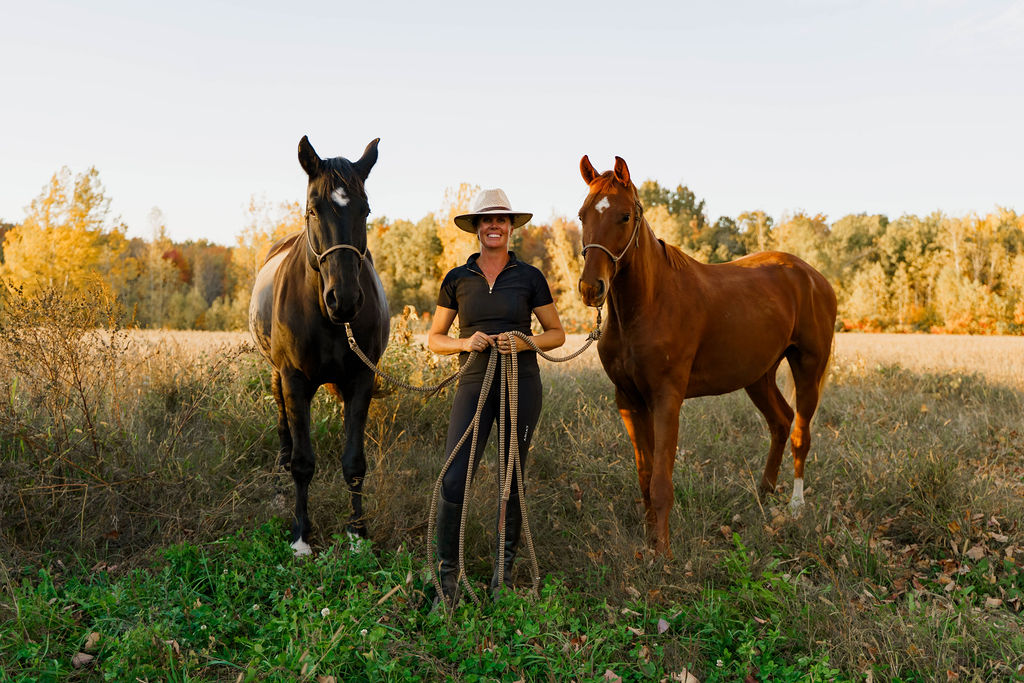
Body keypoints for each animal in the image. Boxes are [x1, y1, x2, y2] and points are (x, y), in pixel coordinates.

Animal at [249, 136, 389, 556]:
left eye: (365, 209)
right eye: (313, 209)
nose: (344, 299)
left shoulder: (361, 381)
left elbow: (354, 461)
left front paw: (357, 532)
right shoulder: (295, 381)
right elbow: (303, 463)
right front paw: (300, 535)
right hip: (277, 374)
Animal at [576, 155, 837, 556]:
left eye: (624, 216)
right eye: (582, 215)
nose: (592, 288)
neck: (650, 303)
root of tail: (813, 278)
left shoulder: (667, 399)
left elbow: (661, 483)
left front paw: (664, 555)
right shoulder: (628, 400)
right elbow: (645, 477)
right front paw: (650, 541)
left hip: (808, 366)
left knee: (800, 433)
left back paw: (795, 506)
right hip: (758, 375)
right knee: (780, 422)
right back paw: (763, 494)